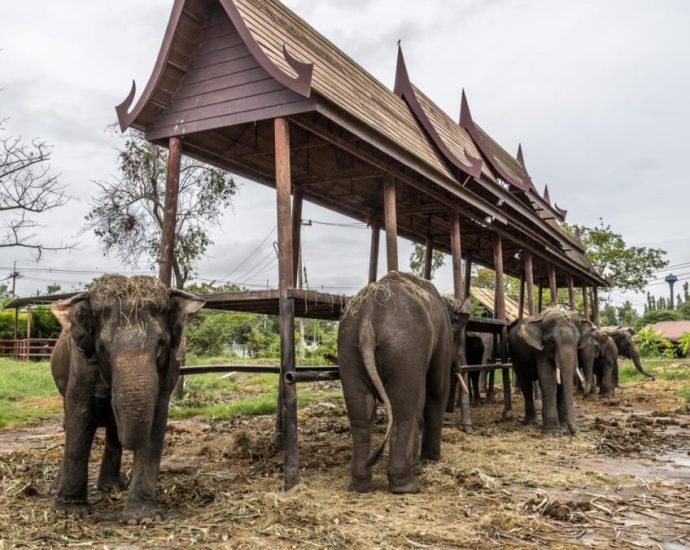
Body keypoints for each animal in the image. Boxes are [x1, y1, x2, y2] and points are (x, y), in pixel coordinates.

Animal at [50, 276, 203, 528]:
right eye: (102, 348)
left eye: (161, 344)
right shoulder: (81, 364)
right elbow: (80, 417)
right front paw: (69, 513)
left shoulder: (168, 371)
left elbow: (156, 420)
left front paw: (142, 518)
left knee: (114, 431)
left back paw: (111, 487)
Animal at [336, 272, 470, 496]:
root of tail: (367, 320)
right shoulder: (441, 336)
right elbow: (436, 389)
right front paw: (429, 461)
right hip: (404, 349)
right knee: (404, 411)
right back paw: (407, 487)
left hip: (348, 349)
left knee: (361, 415)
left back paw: (359, 486)